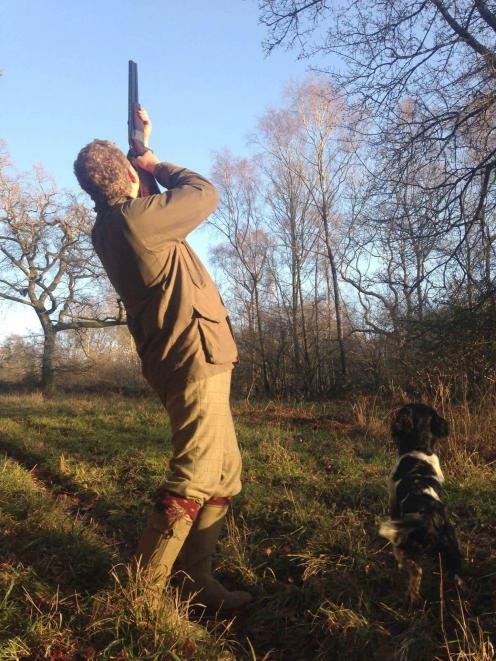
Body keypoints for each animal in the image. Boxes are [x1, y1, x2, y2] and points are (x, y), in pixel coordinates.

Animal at [380, 402, 462, 604]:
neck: (420, 448)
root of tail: (428, 518)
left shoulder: (392, 499)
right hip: (451, 547)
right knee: (455, 575)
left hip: (404, 549)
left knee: (415, 576)